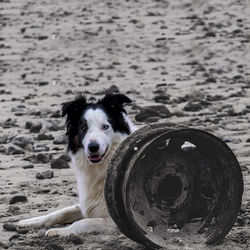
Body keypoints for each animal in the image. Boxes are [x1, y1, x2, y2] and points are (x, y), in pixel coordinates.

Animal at [18, 93, 137, 236]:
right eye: (83, 128)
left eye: (105, 127)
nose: (93, 147)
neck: (99, 168)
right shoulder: (88, 204)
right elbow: (60, 212)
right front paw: (30, 221)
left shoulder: (117, 220)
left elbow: (83, 222)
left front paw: (59, 231)